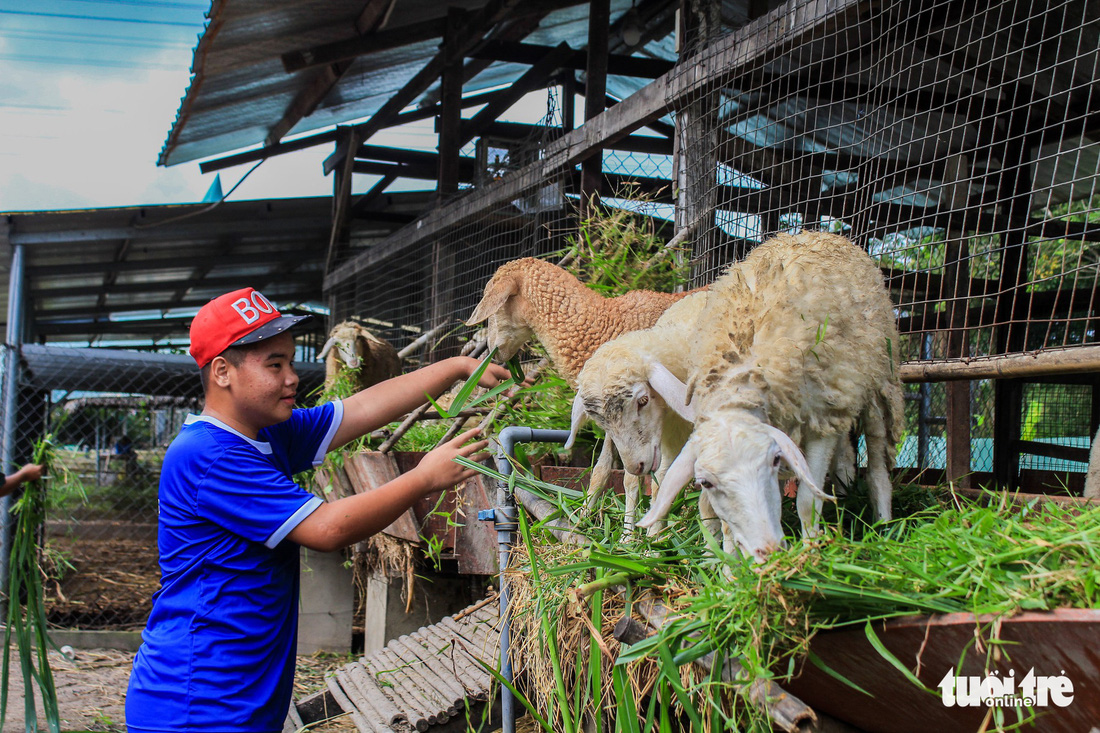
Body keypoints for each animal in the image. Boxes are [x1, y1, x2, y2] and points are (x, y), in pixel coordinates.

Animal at [638, 230, 902, 559]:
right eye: (705, 482)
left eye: (775, 461)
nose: (768, 549)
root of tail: (822, 233)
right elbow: (725, 524)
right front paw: (732, 566)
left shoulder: (821, 419)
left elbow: (808, 501)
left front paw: (810, 553)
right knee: (845, 452)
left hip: (879, 379)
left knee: (878, 465)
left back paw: (884, 528)